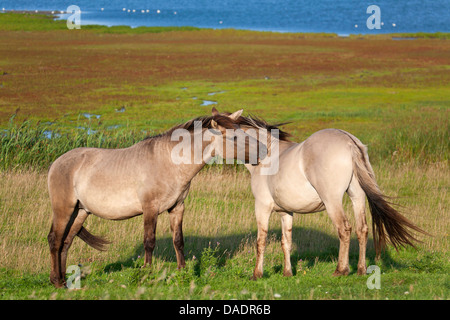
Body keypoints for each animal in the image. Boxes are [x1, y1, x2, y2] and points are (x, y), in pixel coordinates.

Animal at [220, 110, 428, 280]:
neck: (268, 154)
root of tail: (348, 141)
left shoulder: (262, 207)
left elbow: (260, 241)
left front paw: (257, 274)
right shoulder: (285, 212)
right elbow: (286, 242)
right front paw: (288, 273)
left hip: (332, 201)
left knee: (344, 228)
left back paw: (341, 270)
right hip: (357, 196)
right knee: (362, 229)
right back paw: (360, 270)